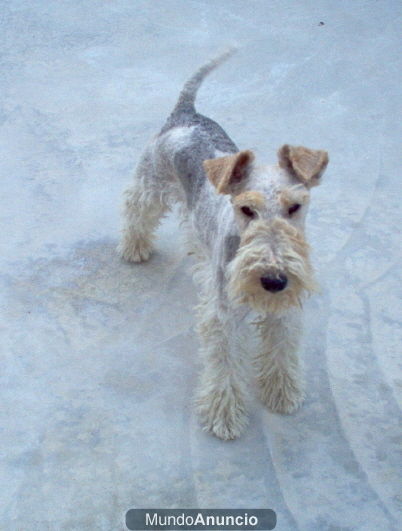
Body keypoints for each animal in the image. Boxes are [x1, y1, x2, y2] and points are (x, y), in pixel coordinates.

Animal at [118, 50, 328, 440]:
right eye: (246, 209)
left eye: (295, 206)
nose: (273, 280)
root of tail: (187, 112)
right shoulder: (223, 317)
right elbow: (225, 368)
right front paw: (224, 416)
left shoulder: (284, 312)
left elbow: (281, 351)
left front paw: (281, 393)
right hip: (151, 181)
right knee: (135, 208)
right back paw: (134, 248)